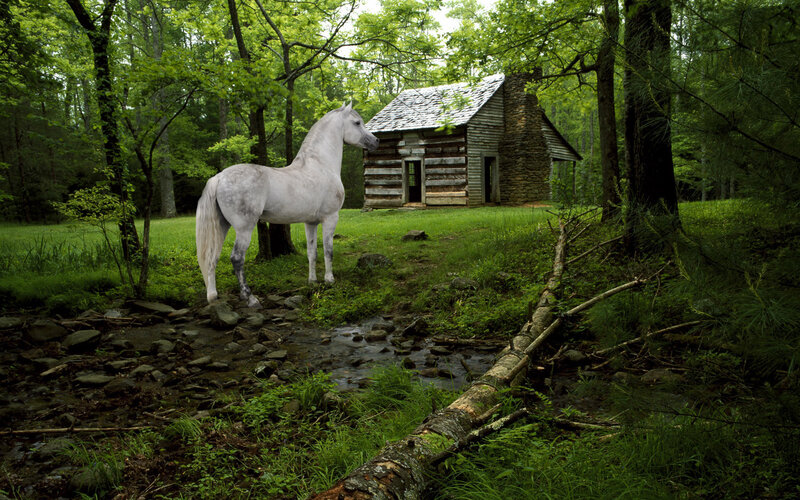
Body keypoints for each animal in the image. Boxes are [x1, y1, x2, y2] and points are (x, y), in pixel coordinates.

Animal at [195, 103, 379, 308]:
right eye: (357, 123)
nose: (376, 141)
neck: (321, 166)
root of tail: (219, 177)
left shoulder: (311, 223)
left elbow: (312, 252)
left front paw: (313, 281)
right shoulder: (331, 218)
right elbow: (328, 250)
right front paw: (329, 280)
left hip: (222, 225)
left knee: (212, 257)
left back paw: (213, 297)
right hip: (244, 228)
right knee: (236, 259)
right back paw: (250, 298)